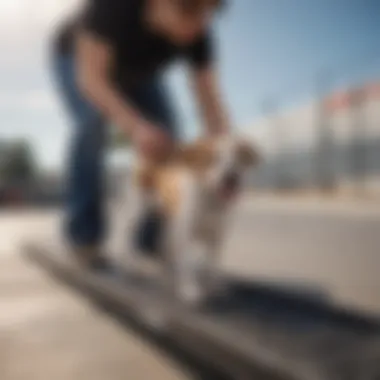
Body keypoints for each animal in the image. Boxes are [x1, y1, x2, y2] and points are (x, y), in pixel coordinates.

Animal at [114, 135, 260, 304]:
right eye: (212, 158)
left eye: (237, 157)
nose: (231, 177)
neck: (209, 197)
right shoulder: (186, 234)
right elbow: (188, 263)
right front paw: (189, 289)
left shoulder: (217, 236)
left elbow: (212, 264)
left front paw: (214, 286)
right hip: (138, 211)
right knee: (129, 237)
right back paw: (128, 267)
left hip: (168, 220)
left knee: (164, 243)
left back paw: (167, 271)